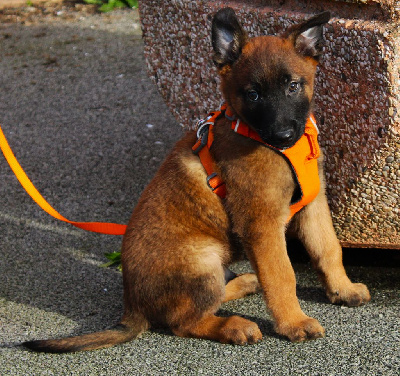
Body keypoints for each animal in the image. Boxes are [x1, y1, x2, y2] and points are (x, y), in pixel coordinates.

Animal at [23, 8, 370, 352]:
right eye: (253, 94)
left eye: (293, 86)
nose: (283, 135)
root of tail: (131, 305)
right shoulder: (261, 223)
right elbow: (282, 274)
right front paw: (293, 322)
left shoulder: (314, 203)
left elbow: (328, 249)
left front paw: (343, 289)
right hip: (202, 261)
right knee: (184, 322)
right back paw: (235, 326)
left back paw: (245, 282)